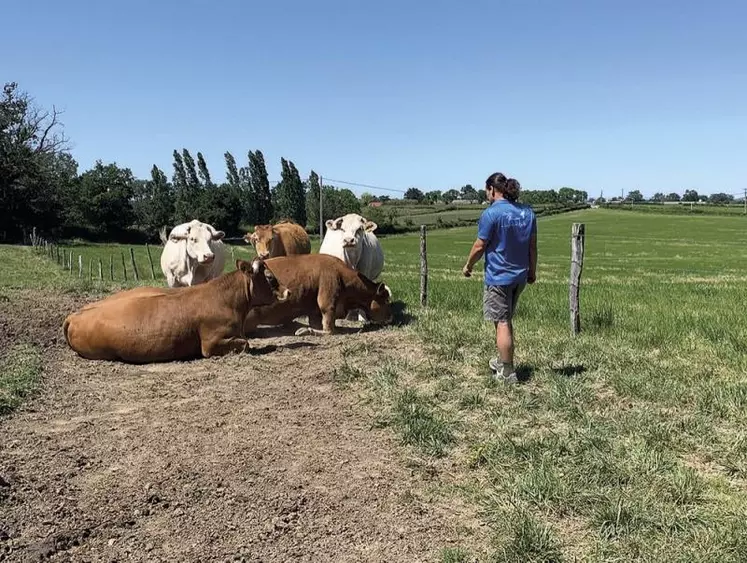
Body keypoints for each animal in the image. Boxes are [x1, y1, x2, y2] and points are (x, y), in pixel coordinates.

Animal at [62, 258, 290, 364]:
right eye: (270, 278)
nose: (287, 291)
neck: (227, 301)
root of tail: (74, 315)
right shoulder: (210, 344)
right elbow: (246, 344)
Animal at [245, 253, 398, 338]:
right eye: (386, 299)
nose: (392, 317)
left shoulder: (314, 311)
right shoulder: (327, 302)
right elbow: (329, 330)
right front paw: (304, 330)